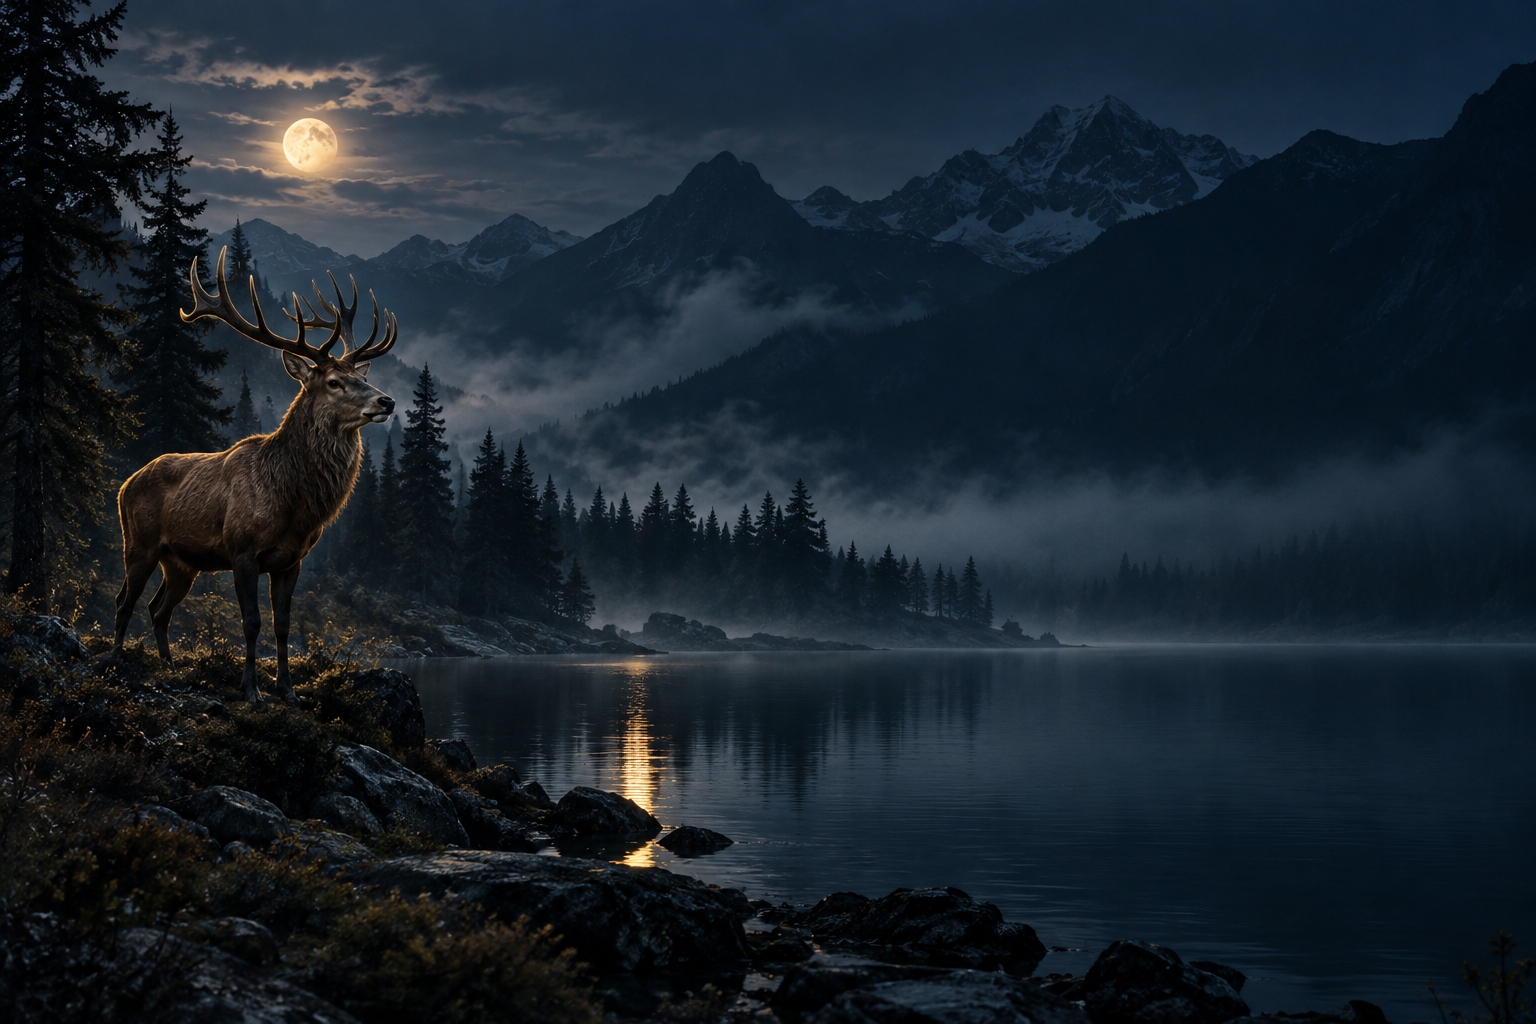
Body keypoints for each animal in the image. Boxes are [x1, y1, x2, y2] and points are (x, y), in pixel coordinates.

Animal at [109, 247, 397, 703]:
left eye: (360, 376)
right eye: (335, 382)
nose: (387, 401)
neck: (293, 503)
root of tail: (124, 484)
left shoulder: (292, 560)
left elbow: (282, 627)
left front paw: (289, 691)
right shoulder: (241, 549)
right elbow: (252, 622)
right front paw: (252, 691)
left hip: (182, 563)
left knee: (158, 609)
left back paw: (168, 665)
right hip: (139, 543)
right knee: (124, 600)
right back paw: (117, 658)